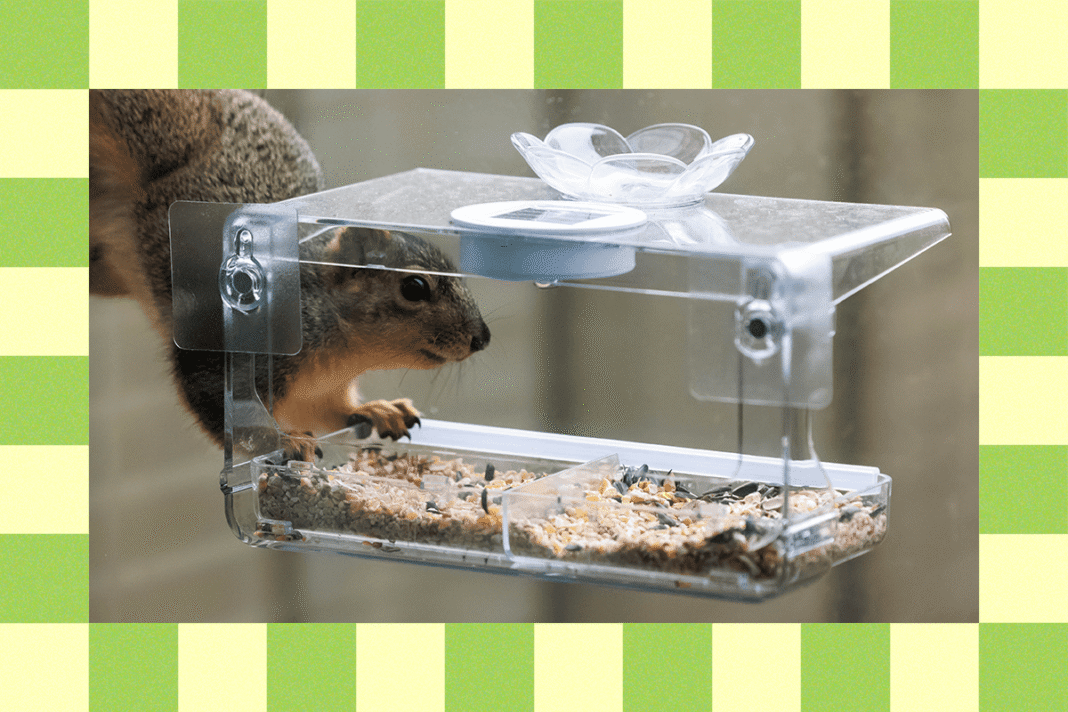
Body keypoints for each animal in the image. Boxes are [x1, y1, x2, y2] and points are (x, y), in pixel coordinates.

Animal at [90, 89, 490, 460]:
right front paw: (284, 440)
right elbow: (219, 408)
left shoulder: (320, 390)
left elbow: (333, 410)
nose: (482, 338)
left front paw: (376, 410)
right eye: (414, 287)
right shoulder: (226, 353)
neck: (344, 351)